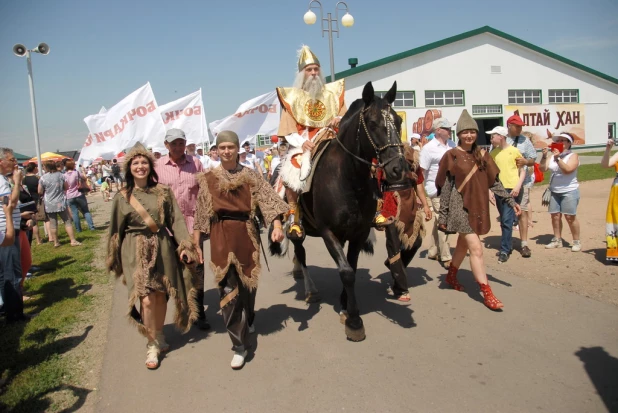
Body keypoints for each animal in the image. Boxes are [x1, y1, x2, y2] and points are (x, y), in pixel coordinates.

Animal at [270, 81, 404, 342]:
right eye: (373, 123)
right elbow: (346, 272)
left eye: (399, 121)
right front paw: (354, 321)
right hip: (299, 229)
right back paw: (310, 289)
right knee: (300, 253)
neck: (349, 179)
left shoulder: (358, 233)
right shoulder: (327, 232)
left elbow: (350, 267)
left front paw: (345, 304)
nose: (399, 167)